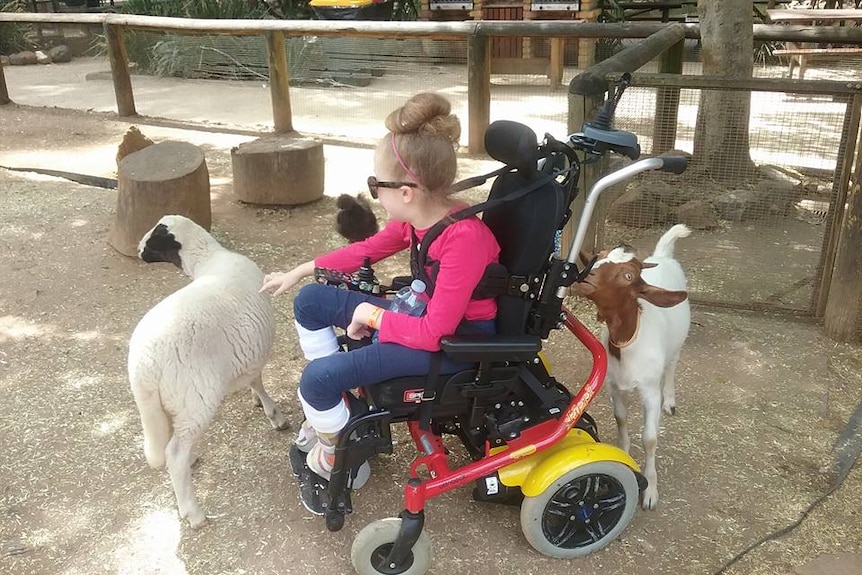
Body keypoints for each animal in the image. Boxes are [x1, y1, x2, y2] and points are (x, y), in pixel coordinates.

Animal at [128, 215, 290, 528]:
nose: (138, 249)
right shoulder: (253, 349)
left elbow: (254, 379)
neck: (210, 260)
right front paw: (272, 412)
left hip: (164, 403)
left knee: (169, 441)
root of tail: (144, 365)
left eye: (156, 235)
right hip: (196, 396)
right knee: (175, 453)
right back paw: (194, 512)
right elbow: (257, 378)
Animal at [572, 223, 696, 510]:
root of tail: (662, 255)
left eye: (628, 276)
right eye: (599, 256)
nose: (584, 277)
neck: (628, 343)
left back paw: (670, 401)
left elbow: (650, 438)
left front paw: (650, 491)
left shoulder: (649, 390)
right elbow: (621, 419)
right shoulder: (614, 386)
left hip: (678, 342)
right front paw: (623, 457)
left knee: (672, 366)